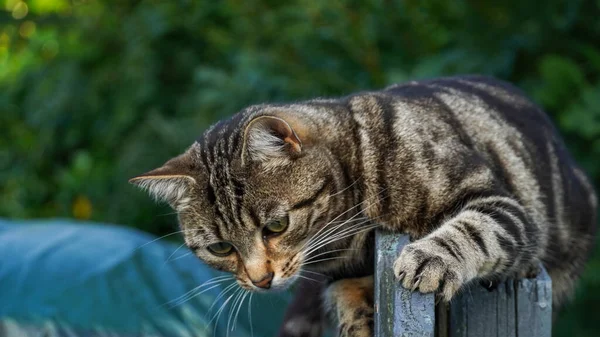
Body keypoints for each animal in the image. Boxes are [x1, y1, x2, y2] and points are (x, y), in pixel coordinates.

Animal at [130, 76, 596, 336]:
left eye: (276, 226)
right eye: (221, 248)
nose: (261, 280)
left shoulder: (500, 204)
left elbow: (474, 229)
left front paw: (429, 260)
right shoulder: (337, 277)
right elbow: (347, 300)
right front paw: (358, 321)